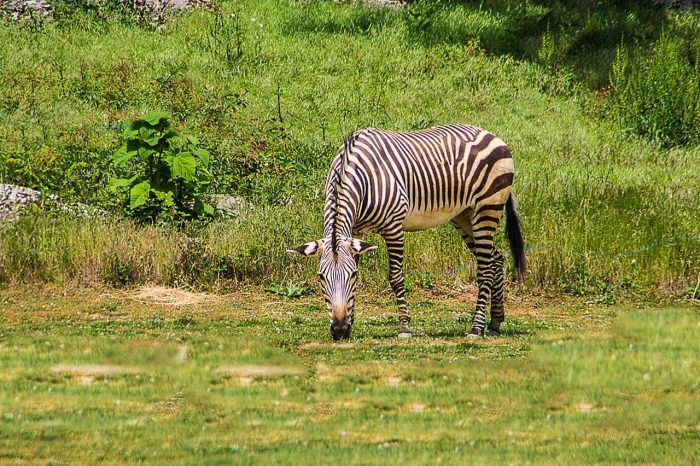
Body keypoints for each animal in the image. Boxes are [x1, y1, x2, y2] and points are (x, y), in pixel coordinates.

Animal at [288, 124, 525, 340]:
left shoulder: (393, 227)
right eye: (321, 277)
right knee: (496, 258)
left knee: (485, 268)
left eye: (352, 275)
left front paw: (404, 327)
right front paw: (351, 322)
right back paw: (495, 322)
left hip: (487, 208)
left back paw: (476, 328)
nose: (338, 330)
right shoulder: (355, 232)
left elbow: (395, 277)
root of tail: (491, 134)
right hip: (464, 215)